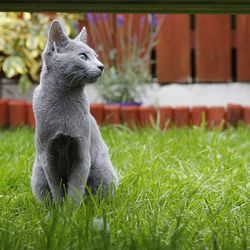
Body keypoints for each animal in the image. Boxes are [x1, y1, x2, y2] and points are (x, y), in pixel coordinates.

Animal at [31, 19, 119, 203]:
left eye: (96, 56)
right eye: (83, 57)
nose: (101, 66)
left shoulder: (82, 154)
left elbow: (75, 190)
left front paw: (71, 210)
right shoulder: (48, 156)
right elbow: (57, 189)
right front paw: (59, 209)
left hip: (102, 171)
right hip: (38, 174)